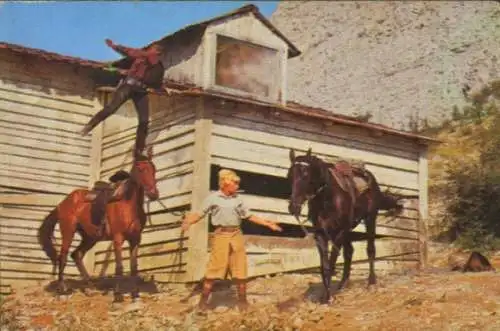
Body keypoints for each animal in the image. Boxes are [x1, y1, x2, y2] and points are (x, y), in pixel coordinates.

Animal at [37, 148, 158, 304]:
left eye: (153, 169)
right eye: (141, 169)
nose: (154, 194)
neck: (128, 205)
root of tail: (62, 204)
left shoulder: (136, 239)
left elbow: (133, 267)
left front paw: (135, 295)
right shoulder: (118, 238)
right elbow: (119, 267)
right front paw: (117, 296)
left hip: (90, 237)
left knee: (77, 255)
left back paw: (89, 288)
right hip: (68, 231)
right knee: (62, 257)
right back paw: (62, 290)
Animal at [288, 149, 404, 304]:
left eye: (306, 175)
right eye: (290, 175)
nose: (293, 207)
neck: (327, 197)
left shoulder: (340, 231)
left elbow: (332, 262)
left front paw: (327, 297)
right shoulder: (321, 234)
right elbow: (325, 266)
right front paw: (325, 295)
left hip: (369, 219)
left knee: (370, 249)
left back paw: (371, 282)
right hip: (348, 230)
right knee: (349, 252)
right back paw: (343, 284)